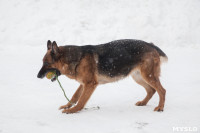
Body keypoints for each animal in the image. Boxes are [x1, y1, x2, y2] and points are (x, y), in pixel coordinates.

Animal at [37, 39, 167, 113]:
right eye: (43, 62)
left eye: (46, 63)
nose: (37, 76)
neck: (76, 59)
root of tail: (151, 45)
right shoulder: (83, 84)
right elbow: (75, 96)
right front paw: (67, 106)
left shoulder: (90, 84)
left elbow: (81, 101)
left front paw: (73, 110)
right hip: (139, 77)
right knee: (151, 90)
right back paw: (143, 103)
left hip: (148, 76)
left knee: (162, 90)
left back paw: (160, 107)